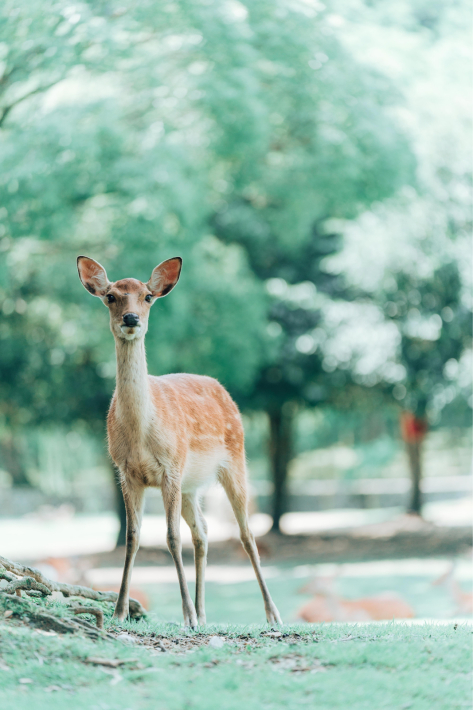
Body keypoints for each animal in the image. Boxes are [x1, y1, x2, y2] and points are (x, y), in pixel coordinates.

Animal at [76, 254, 280, 628]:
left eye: (147, 297)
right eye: (111, 296)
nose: (131, 318)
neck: (141, 433)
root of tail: (223, 389)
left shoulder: (170, 466)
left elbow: (172, 537)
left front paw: (185, 615)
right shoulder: (126, 472)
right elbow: (133, 537)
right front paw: (120, 611)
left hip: (235, 459)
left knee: (246, 534)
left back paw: (271, 615)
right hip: (190, 486)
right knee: (203, 531)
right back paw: (204, 612)